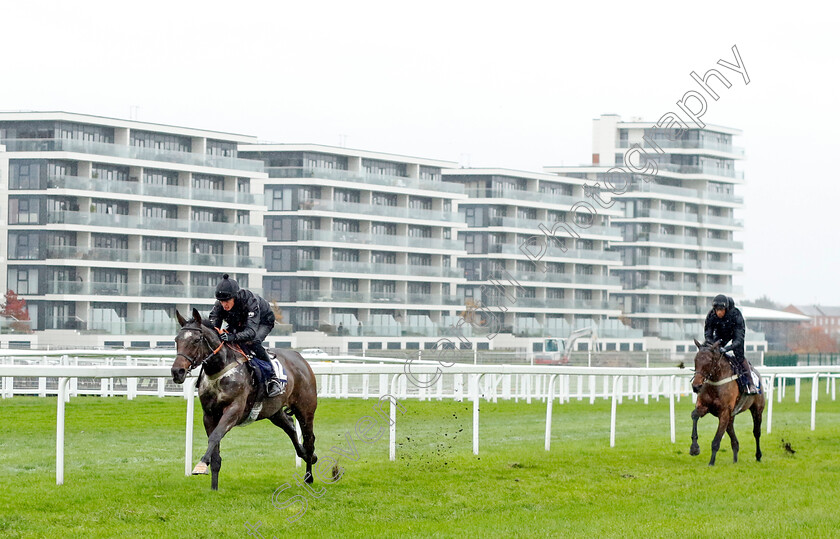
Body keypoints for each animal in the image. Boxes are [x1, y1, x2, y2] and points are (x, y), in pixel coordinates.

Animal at [171, 308, 318, 490]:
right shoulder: (209, 415)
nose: (177, 372)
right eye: (176, 340)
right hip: (274, 411)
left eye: (196, 340)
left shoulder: (234, 410)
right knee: (290, 428)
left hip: (305, 409)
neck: (220, 369)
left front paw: (201, 465)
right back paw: (306, 455)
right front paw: (214, 488)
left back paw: (309, 476)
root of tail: (300, 358)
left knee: (309, 439)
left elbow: (215, 436)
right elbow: (215, 451)